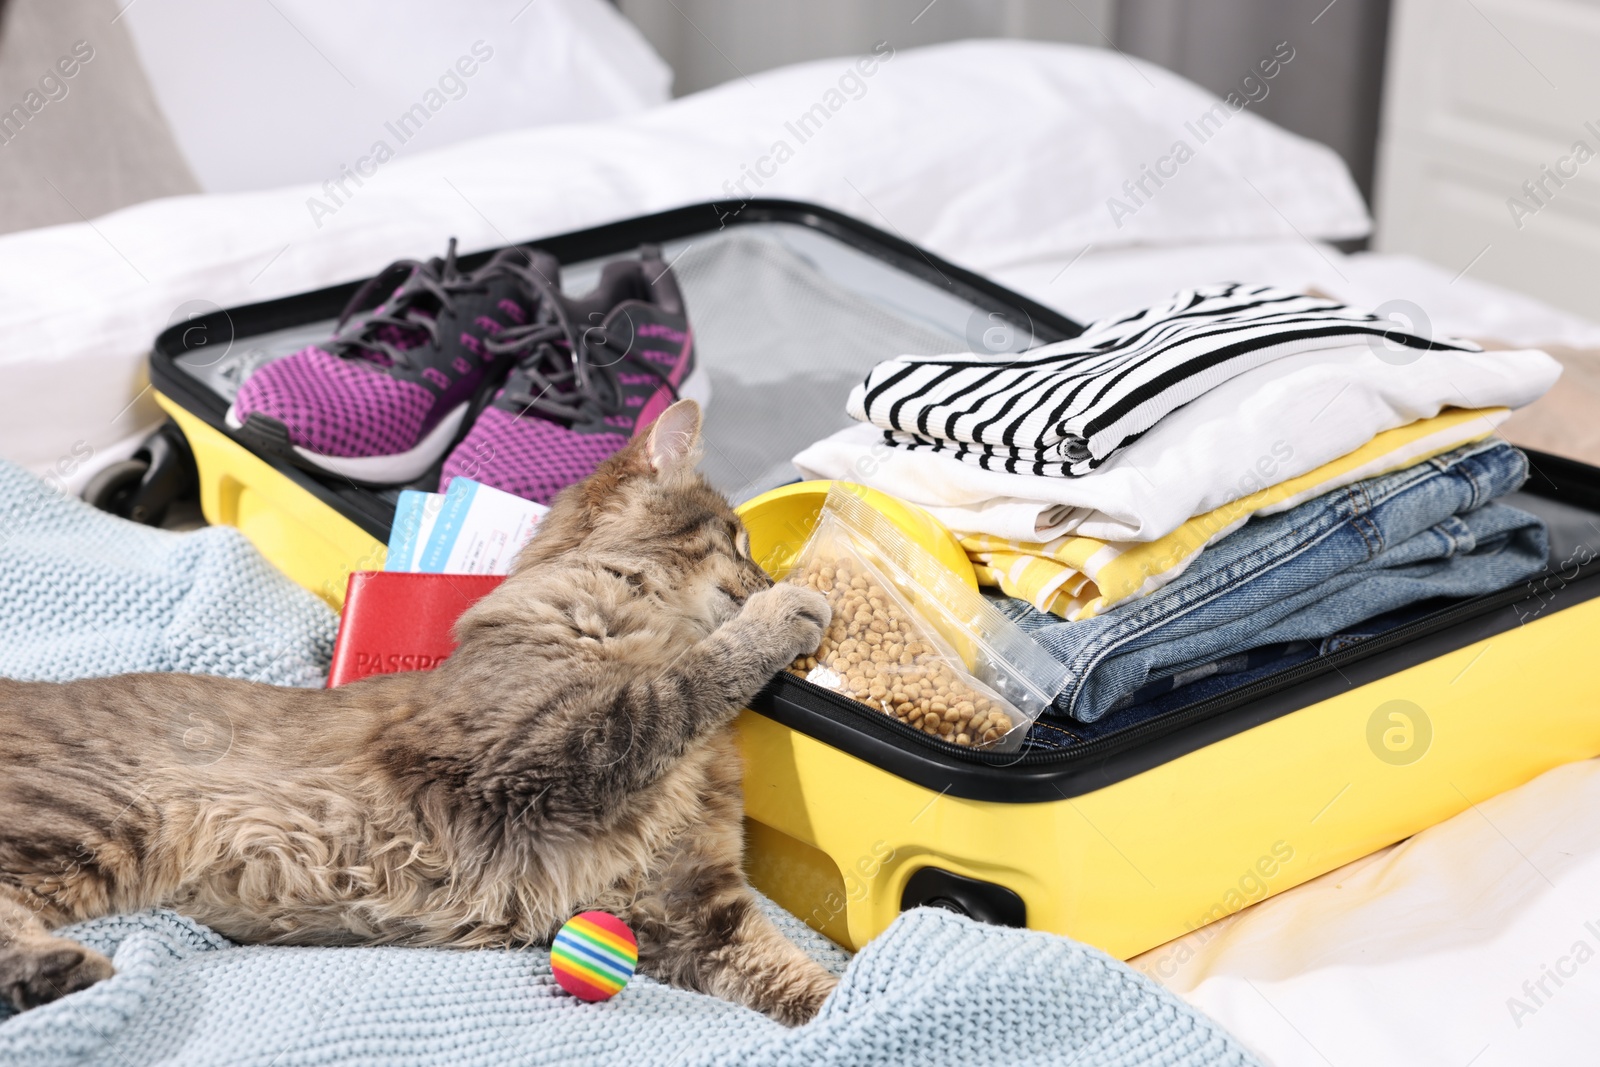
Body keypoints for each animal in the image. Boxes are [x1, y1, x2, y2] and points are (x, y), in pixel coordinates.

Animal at [0, 399, 838, 1023]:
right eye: (737, 540)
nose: (772, 577)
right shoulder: (554, 749)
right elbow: (687, 680)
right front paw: (784, 611)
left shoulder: (687, 900)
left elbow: (803, 980)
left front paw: (856, 1012)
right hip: (91, 818)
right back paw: (60, 969)